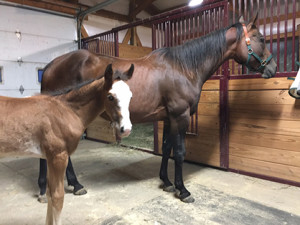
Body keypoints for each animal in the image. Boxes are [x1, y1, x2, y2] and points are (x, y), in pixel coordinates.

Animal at [0, 63, 134, 225]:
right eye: (110, 97)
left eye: (130, 96)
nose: (126, 129)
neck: (66, 110)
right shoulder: (59, 157)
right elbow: (58, 197)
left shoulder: (49, 158)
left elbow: (50, 194)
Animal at [39, 14, 276, 203]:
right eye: (262, 39)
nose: (273, 68)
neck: (183, 68)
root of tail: (50, 66)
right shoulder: (180, 116)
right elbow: (179, 152)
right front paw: (183, 190)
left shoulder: (169, 117)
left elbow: (166, 148)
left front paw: (167, 182)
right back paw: (51, 189)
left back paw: (70, 185)